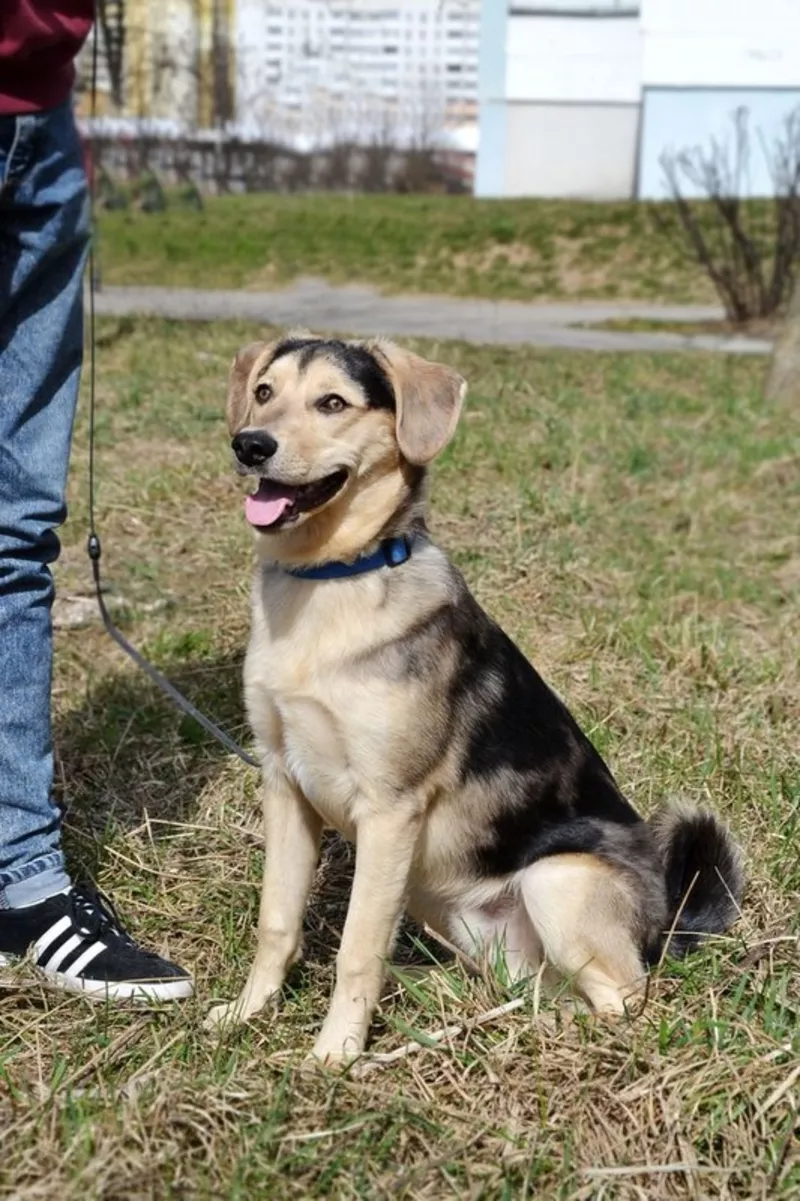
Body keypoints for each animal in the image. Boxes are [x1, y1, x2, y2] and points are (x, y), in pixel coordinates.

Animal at [205, 333, 739, 1066]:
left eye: (333, 403)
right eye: (264, 392)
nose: (250, 445)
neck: (331, 581)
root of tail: (662, 926)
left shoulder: (390, 809)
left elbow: (356, 950)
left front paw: (336, 1053)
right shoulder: (285, 783)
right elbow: (277, 922)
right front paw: (247, 1013)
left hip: (554, 879)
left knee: (623, 998)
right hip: (439, 898)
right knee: (524, 983)